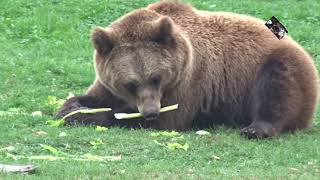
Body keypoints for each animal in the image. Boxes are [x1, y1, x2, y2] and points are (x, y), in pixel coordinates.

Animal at [57, 1, 318, 138]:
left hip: (275, 65)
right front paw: (71, 107)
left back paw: (255, 128)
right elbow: (97, 96)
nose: (150, 111)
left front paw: (86, 116)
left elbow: (167, 119)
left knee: (278, 91)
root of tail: (300, 46)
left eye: (156, 78)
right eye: (130, 84)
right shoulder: (109, 82)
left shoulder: (189, 82)